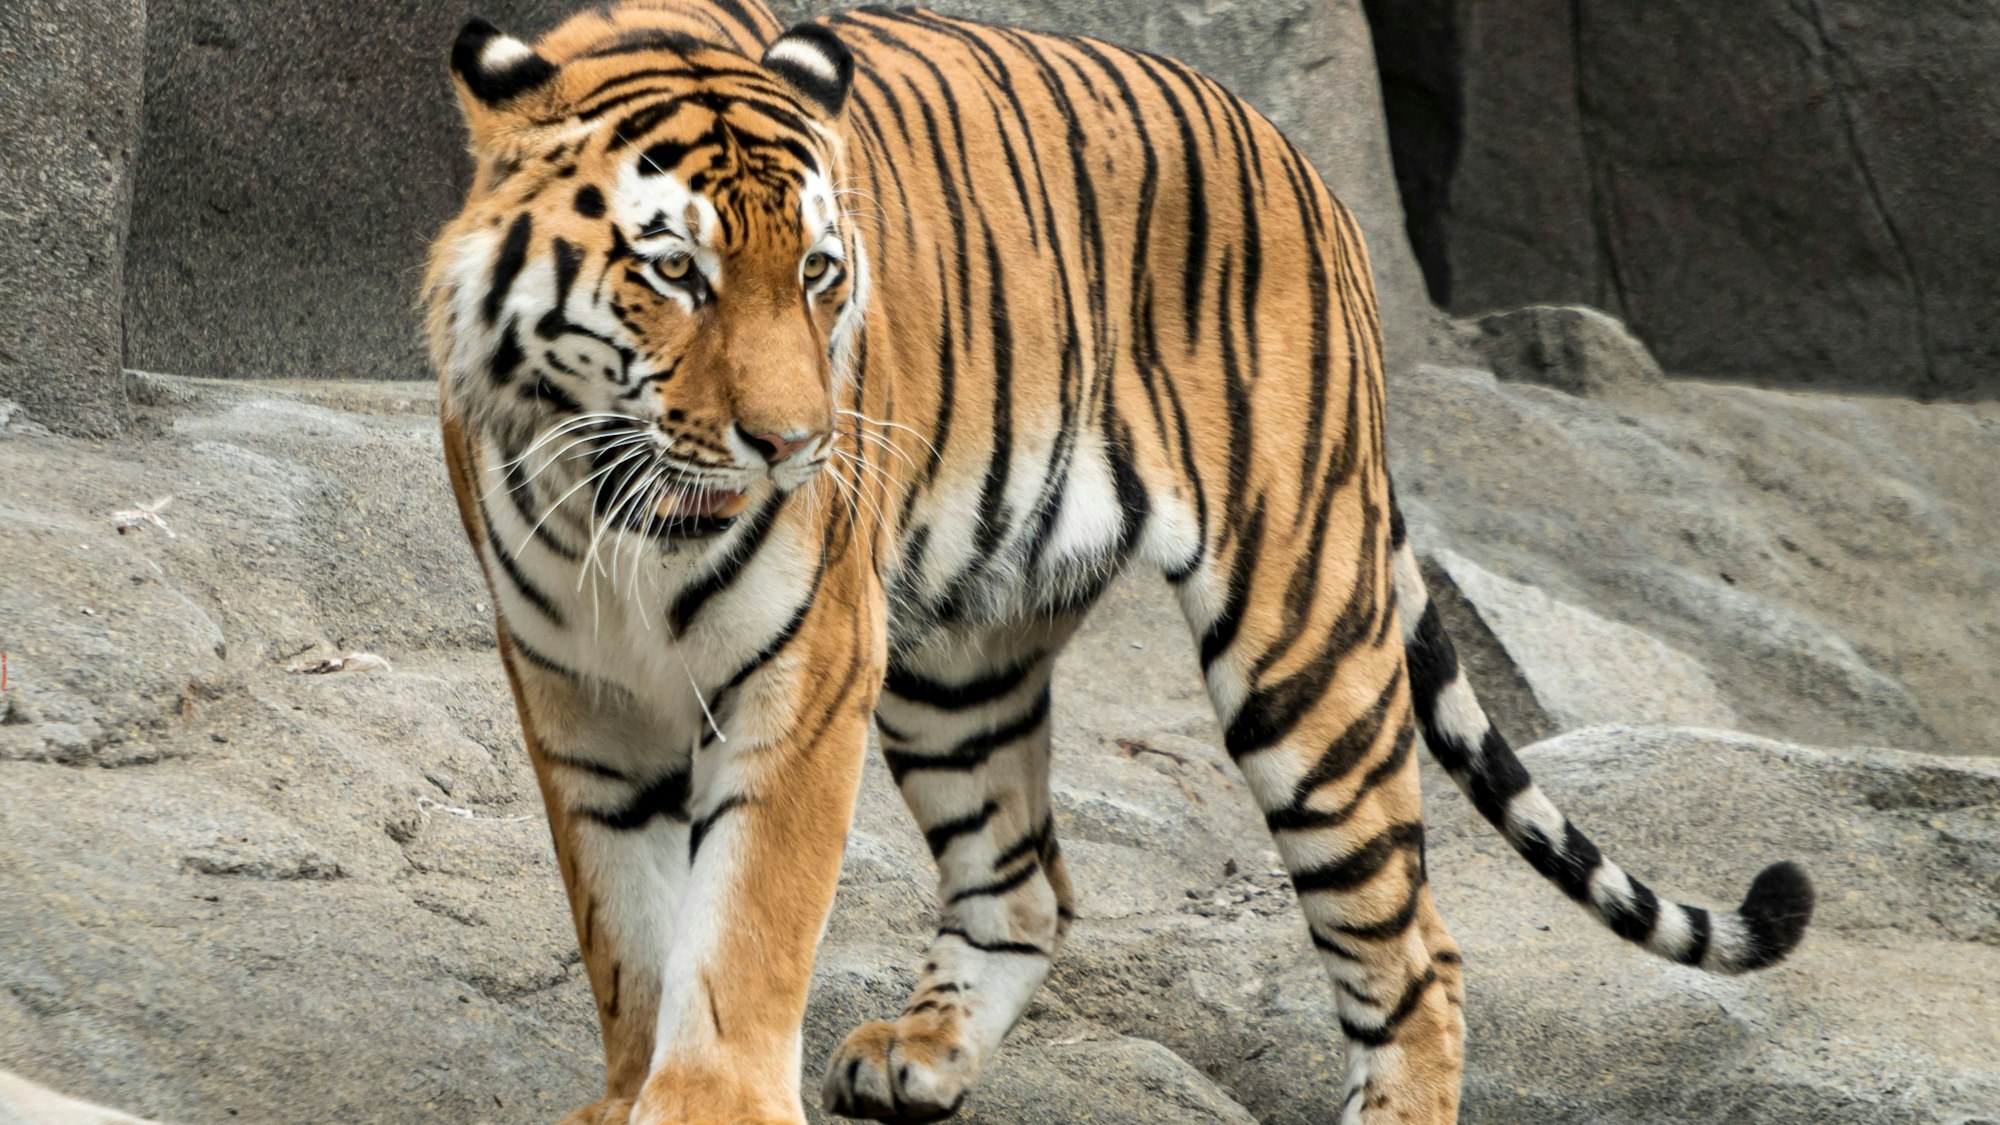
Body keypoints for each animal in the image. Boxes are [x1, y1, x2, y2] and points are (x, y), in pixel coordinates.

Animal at [423, 2, 1817, 1122]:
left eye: (816, 273)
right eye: (676, 272)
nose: (796, 445)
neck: (619, 501)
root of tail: (1304, 164)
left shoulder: (804, 669)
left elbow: (744, 928)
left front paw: (704, 1105)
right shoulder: (574, 694)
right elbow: (628, 931)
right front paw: (630, 1094)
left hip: (1301, 636)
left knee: (1414, 951)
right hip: (957, 664)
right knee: (1024, 883)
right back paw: (919, 1058)